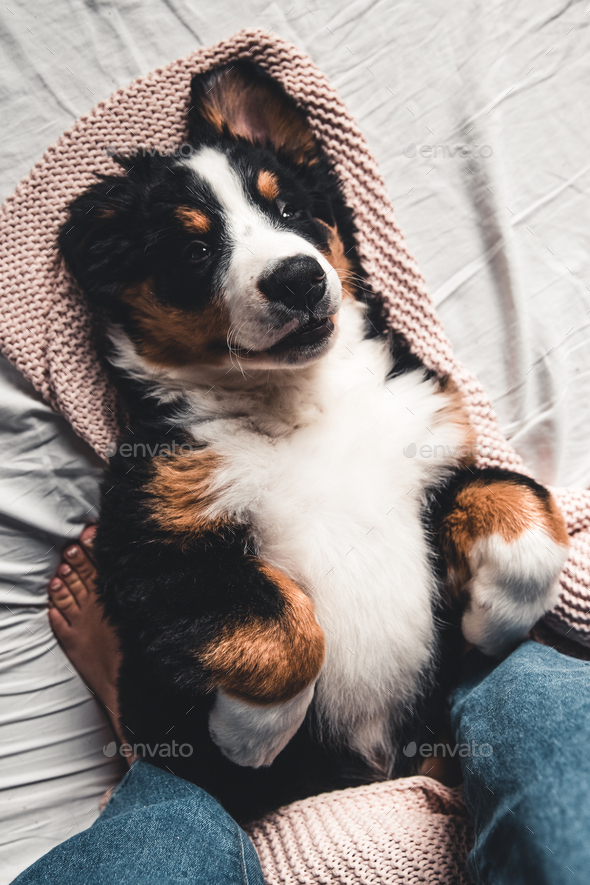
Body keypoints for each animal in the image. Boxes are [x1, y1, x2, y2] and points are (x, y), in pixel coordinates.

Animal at [57, 60, 572, 820]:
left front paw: (497, 619)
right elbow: (281, 624)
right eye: (194, 249)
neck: (304, 399)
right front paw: (250, 732)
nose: (298, 279)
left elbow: (520, 502)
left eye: (291, 211)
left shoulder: (435, 448)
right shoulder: (154, 538)